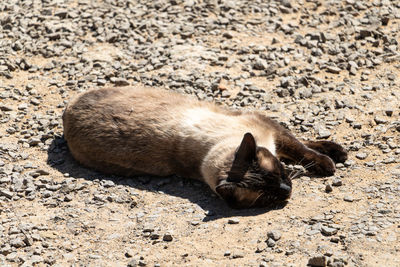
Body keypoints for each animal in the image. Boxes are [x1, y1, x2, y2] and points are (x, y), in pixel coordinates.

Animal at [62, 87, 346, 210]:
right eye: (268, 196)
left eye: (279, 173)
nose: (287, 189)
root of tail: (67, 110)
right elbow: (302, 150)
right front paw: (329, 164)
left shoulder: (271, 131)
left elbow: (303, 147)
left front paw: (334, 155)